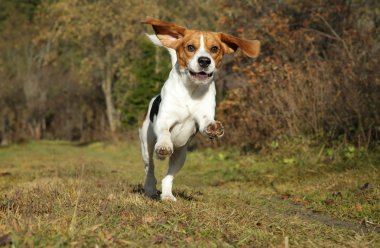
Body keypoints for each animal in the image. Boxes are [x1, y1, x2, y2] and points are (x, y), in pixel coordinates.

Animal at [140, 17, 262, 201]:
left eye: (214, 49)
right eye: (190, 47)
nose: (204, 61)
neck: (192, 90)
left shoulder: (203, 119)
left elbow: (207, 125)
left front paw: (215, 128)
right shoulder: (164, 120)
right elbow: (165, 132)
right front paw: (164, 145)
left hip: (181, 156)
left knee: (168, 177)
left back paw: (167, 195)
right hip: (146, 145)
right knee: (150, 168)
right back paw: (150, 186)